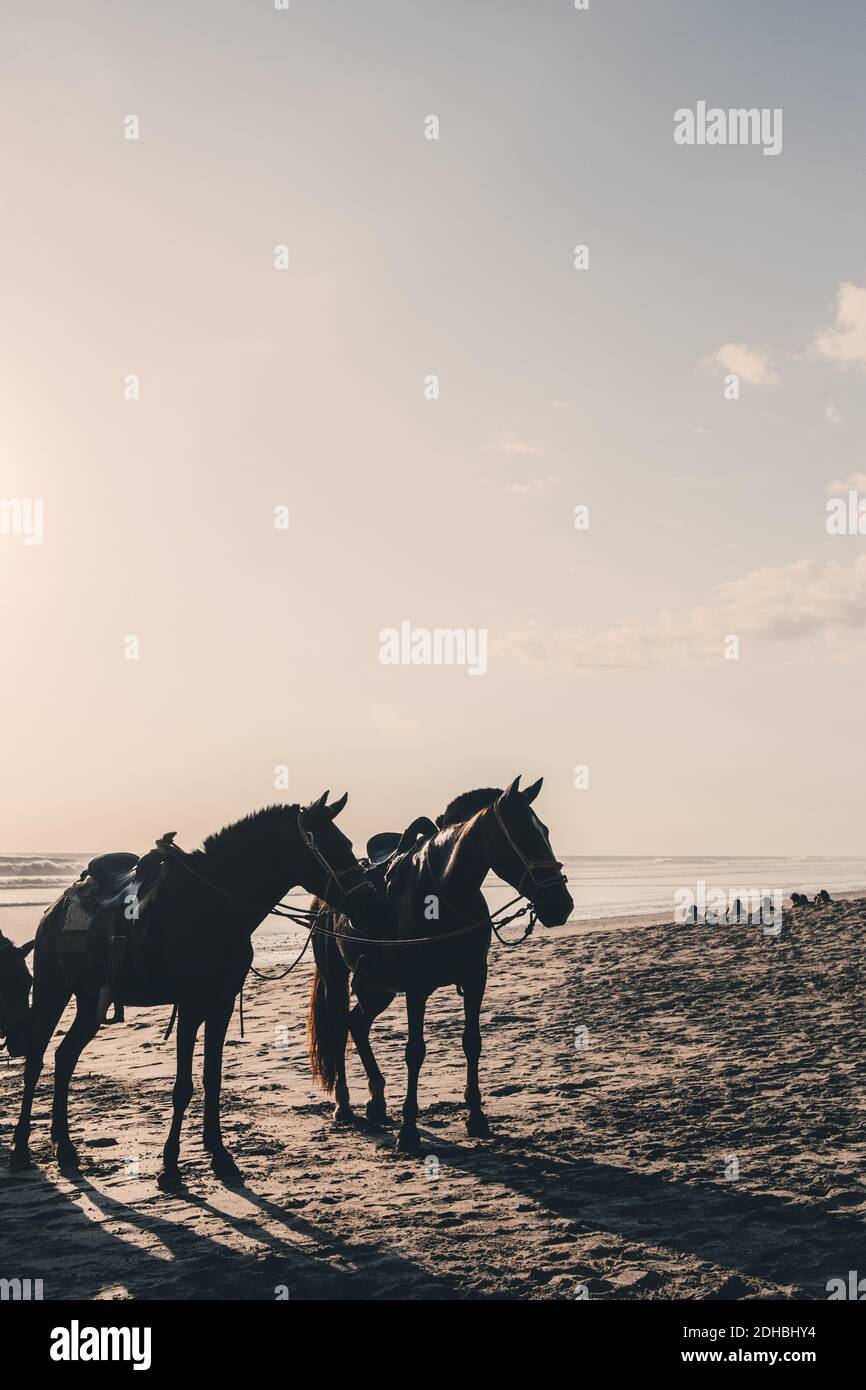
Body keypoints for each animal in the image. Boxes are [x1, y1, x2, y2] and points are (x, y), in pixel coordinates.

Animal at [6, 795, 386, 1184]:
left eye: (348, 845)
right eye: (335, 847)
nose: (373, 907)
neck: (212, 907)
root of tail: (55, 908)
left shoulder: (221, 1004)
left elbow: (211, 1079)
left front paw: (219, 1155)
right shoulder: (190, 1006)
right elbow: (183, 1087)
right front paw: (170, 1166)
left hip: (89, 1002)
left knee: (64, 1057)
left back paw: (64, 1147)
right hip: (53, 991)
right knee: (36, 1060)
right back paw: (21, 1149)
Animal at [308, 778, 572, 1156]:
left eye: (545, 831)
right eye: (522, 834)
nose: (560, 904)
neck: (444, 892)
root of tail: (324, 899)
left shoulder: (475, 979)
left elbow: (472, 1042)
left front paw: (476, 1117)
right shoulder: (416, 988)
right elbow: (415, 1052)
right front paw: (408, 1130)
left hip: (378, 988)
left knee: (355, 1023)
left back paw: (376, 1099)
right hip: (339, 979)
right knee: (339, 1026)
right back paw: (343, 1104)